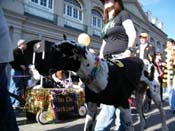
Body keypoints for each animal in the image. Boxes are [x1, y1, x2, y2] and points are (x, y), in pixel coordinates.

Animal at [35, 40, 168, 130]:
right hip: (139, 98)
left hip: (155, 95)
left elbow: (129, 126)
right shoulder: (91, 109)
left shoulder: (124, 105)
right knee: (141, 113)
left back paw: (164, 126)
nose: (36, 66)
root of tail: (147, 61)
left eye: (56, 51)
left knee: (162, 113)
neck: (96, 72)